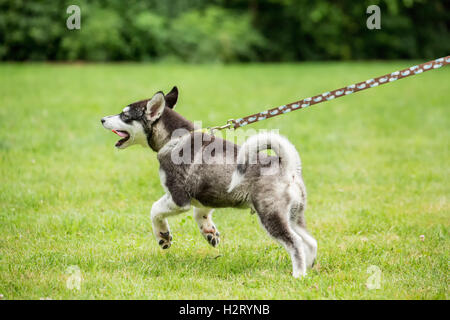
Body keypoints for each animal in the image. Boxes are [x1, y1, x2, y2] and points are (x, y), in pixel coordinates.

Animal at [103, 87, 316, 278]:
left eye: (125, 115)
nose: (102, 119)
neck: (174, 139)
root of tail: (287, 165)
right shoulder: (205, 196)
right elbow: (200, 214)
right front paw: (209, 232)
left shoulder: (178, 198)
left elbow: (154, 210)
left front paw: (163, 236)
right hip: (293, 215)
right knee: (310, 241)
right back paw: (310, 268)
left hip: (271, 215)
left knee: (295, 242)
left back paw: (298, 274)